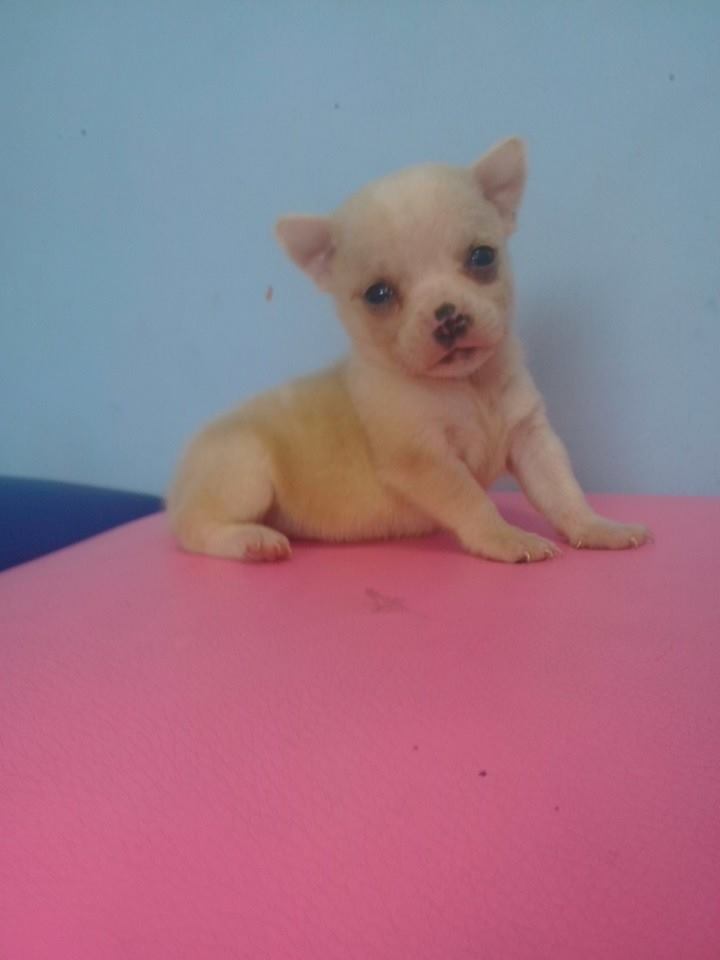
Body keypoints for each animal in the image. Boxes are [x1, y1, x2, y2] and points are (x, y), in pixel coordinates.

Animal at [167, 137, 650, 563]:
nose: (448, 316)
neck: (468, 385)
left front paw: (596, 527)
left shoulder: (532, 439)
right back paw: (249, 541)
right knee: (193, 528)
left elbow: (562, 491)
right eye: (378, 294)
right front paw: (507, 538)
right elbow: (474, 501)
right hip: (245, 471)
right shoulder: (427, 461)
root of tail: (178, 479)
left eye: (482, 257)